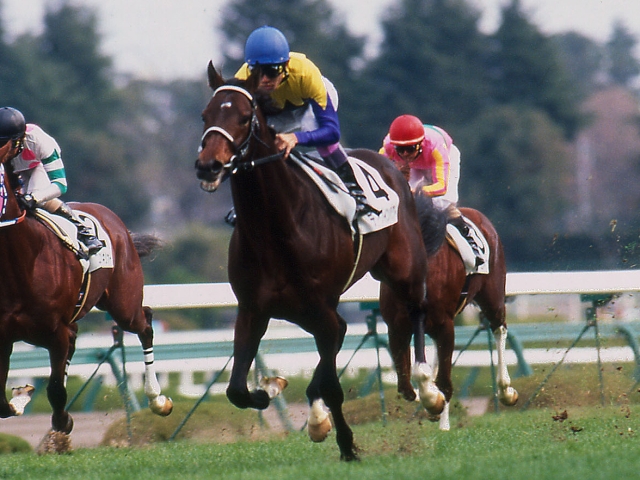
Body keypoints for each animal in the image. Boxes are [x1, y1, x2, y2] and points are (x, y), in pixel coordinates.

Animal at [0, 142, 173, 452]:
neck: (20, 261)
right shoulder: (5, 335)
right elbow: (1, 403)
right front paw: (23, 396)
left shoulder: (55, 331)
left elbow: (56, 389)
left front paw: (60, 422)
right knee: (75, 341)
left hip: (123, 305)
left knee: (146, 323)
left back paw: (157, 400)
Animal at [195, 62, 432, 461]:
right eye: (205, 116)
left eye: (243, 117)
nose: (208, 166)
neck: (275, 228)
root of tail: (389, 164)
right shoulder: (253, 309)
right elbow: (237, 389)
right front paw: (272, 389)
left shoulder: (321, 309)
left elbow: (334, 383)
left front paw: (346, 444)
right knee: (352, 328)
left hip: (403, 269)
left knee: (414, 311)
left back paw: (426, 389)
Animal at [380, 194, 518, 430]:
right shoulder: (396, 327)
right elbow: (405, 384)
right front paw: (431, 400)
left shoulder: (444, 324)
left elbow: (441, 381)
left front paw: (433, 401)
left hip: (493, 297)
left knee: (499, 328)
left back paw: (506, 390)